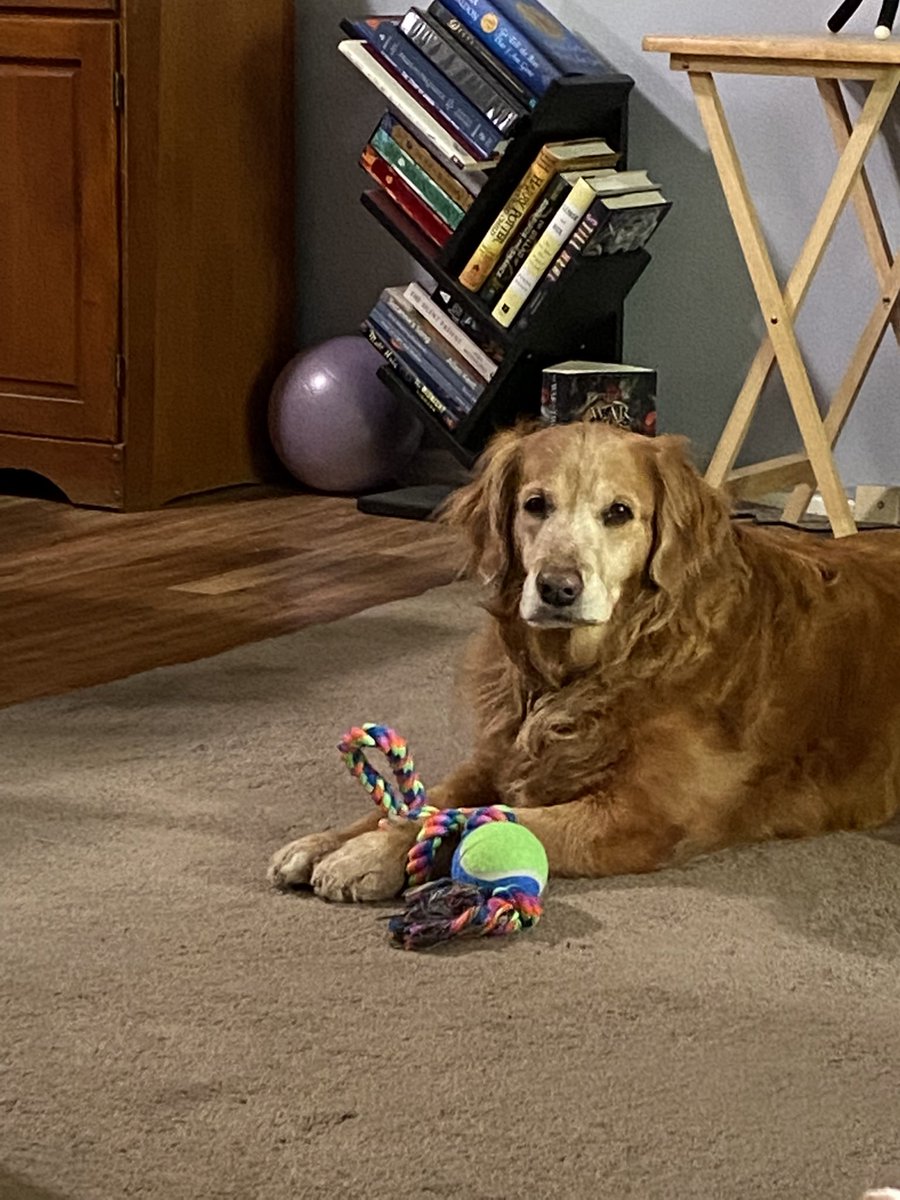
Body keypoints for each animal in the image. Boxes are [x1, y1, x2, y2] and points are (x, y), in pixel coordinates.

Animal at [271, 422, 900, 902]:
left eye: (619, 512)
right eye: (534, 505)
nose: (557, 588)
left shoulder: (640, 815)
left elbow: (492, 816)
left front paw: (369, 855)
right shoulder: (498, 754)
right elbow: (431, 802)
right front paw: (329, 841)